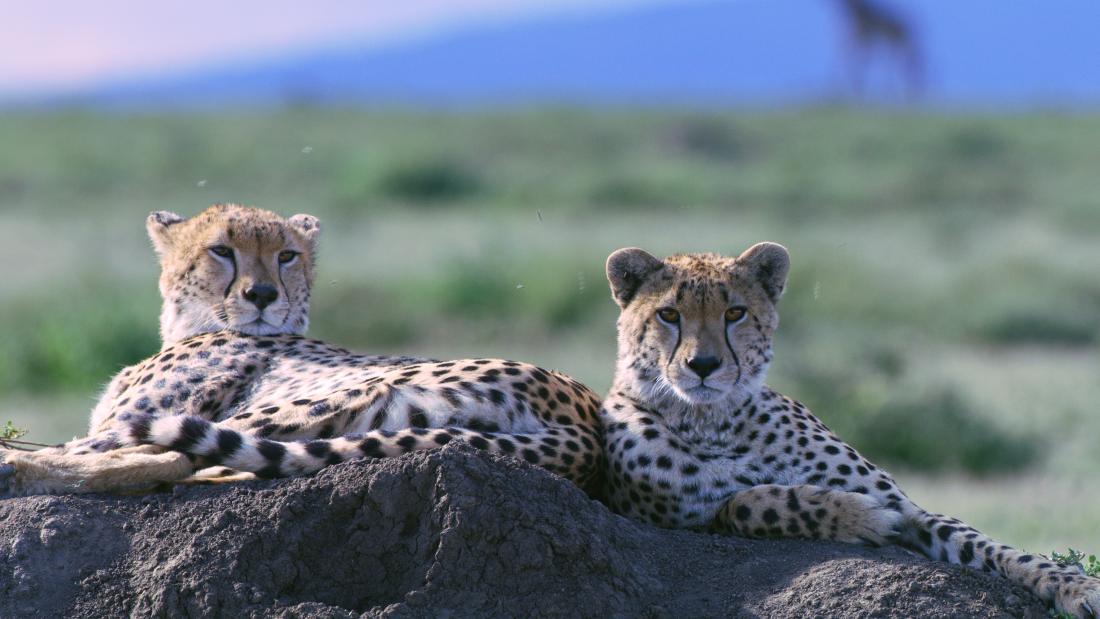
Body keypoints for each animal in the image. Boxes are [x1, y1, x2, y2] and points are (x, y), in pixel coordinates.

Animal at [0, 205, 602, 496]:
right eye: (222, 250)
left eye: (286, 255)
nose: (262, 294)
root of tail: (583, 423)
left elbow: (103, 443)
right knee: (195, 465)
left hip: (310, 401)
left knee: (170, 457)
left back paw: (16, 469)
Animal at [602, 245, 1100, 615]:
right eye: (669, 315)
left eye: (735, 313)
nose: (703, 365)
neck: (716, 421)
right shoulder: (684, 522)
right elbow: (748, 502)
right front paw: (863, 516)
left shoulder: (909, 506)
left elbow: (990, 546)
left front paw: (1077, 587)